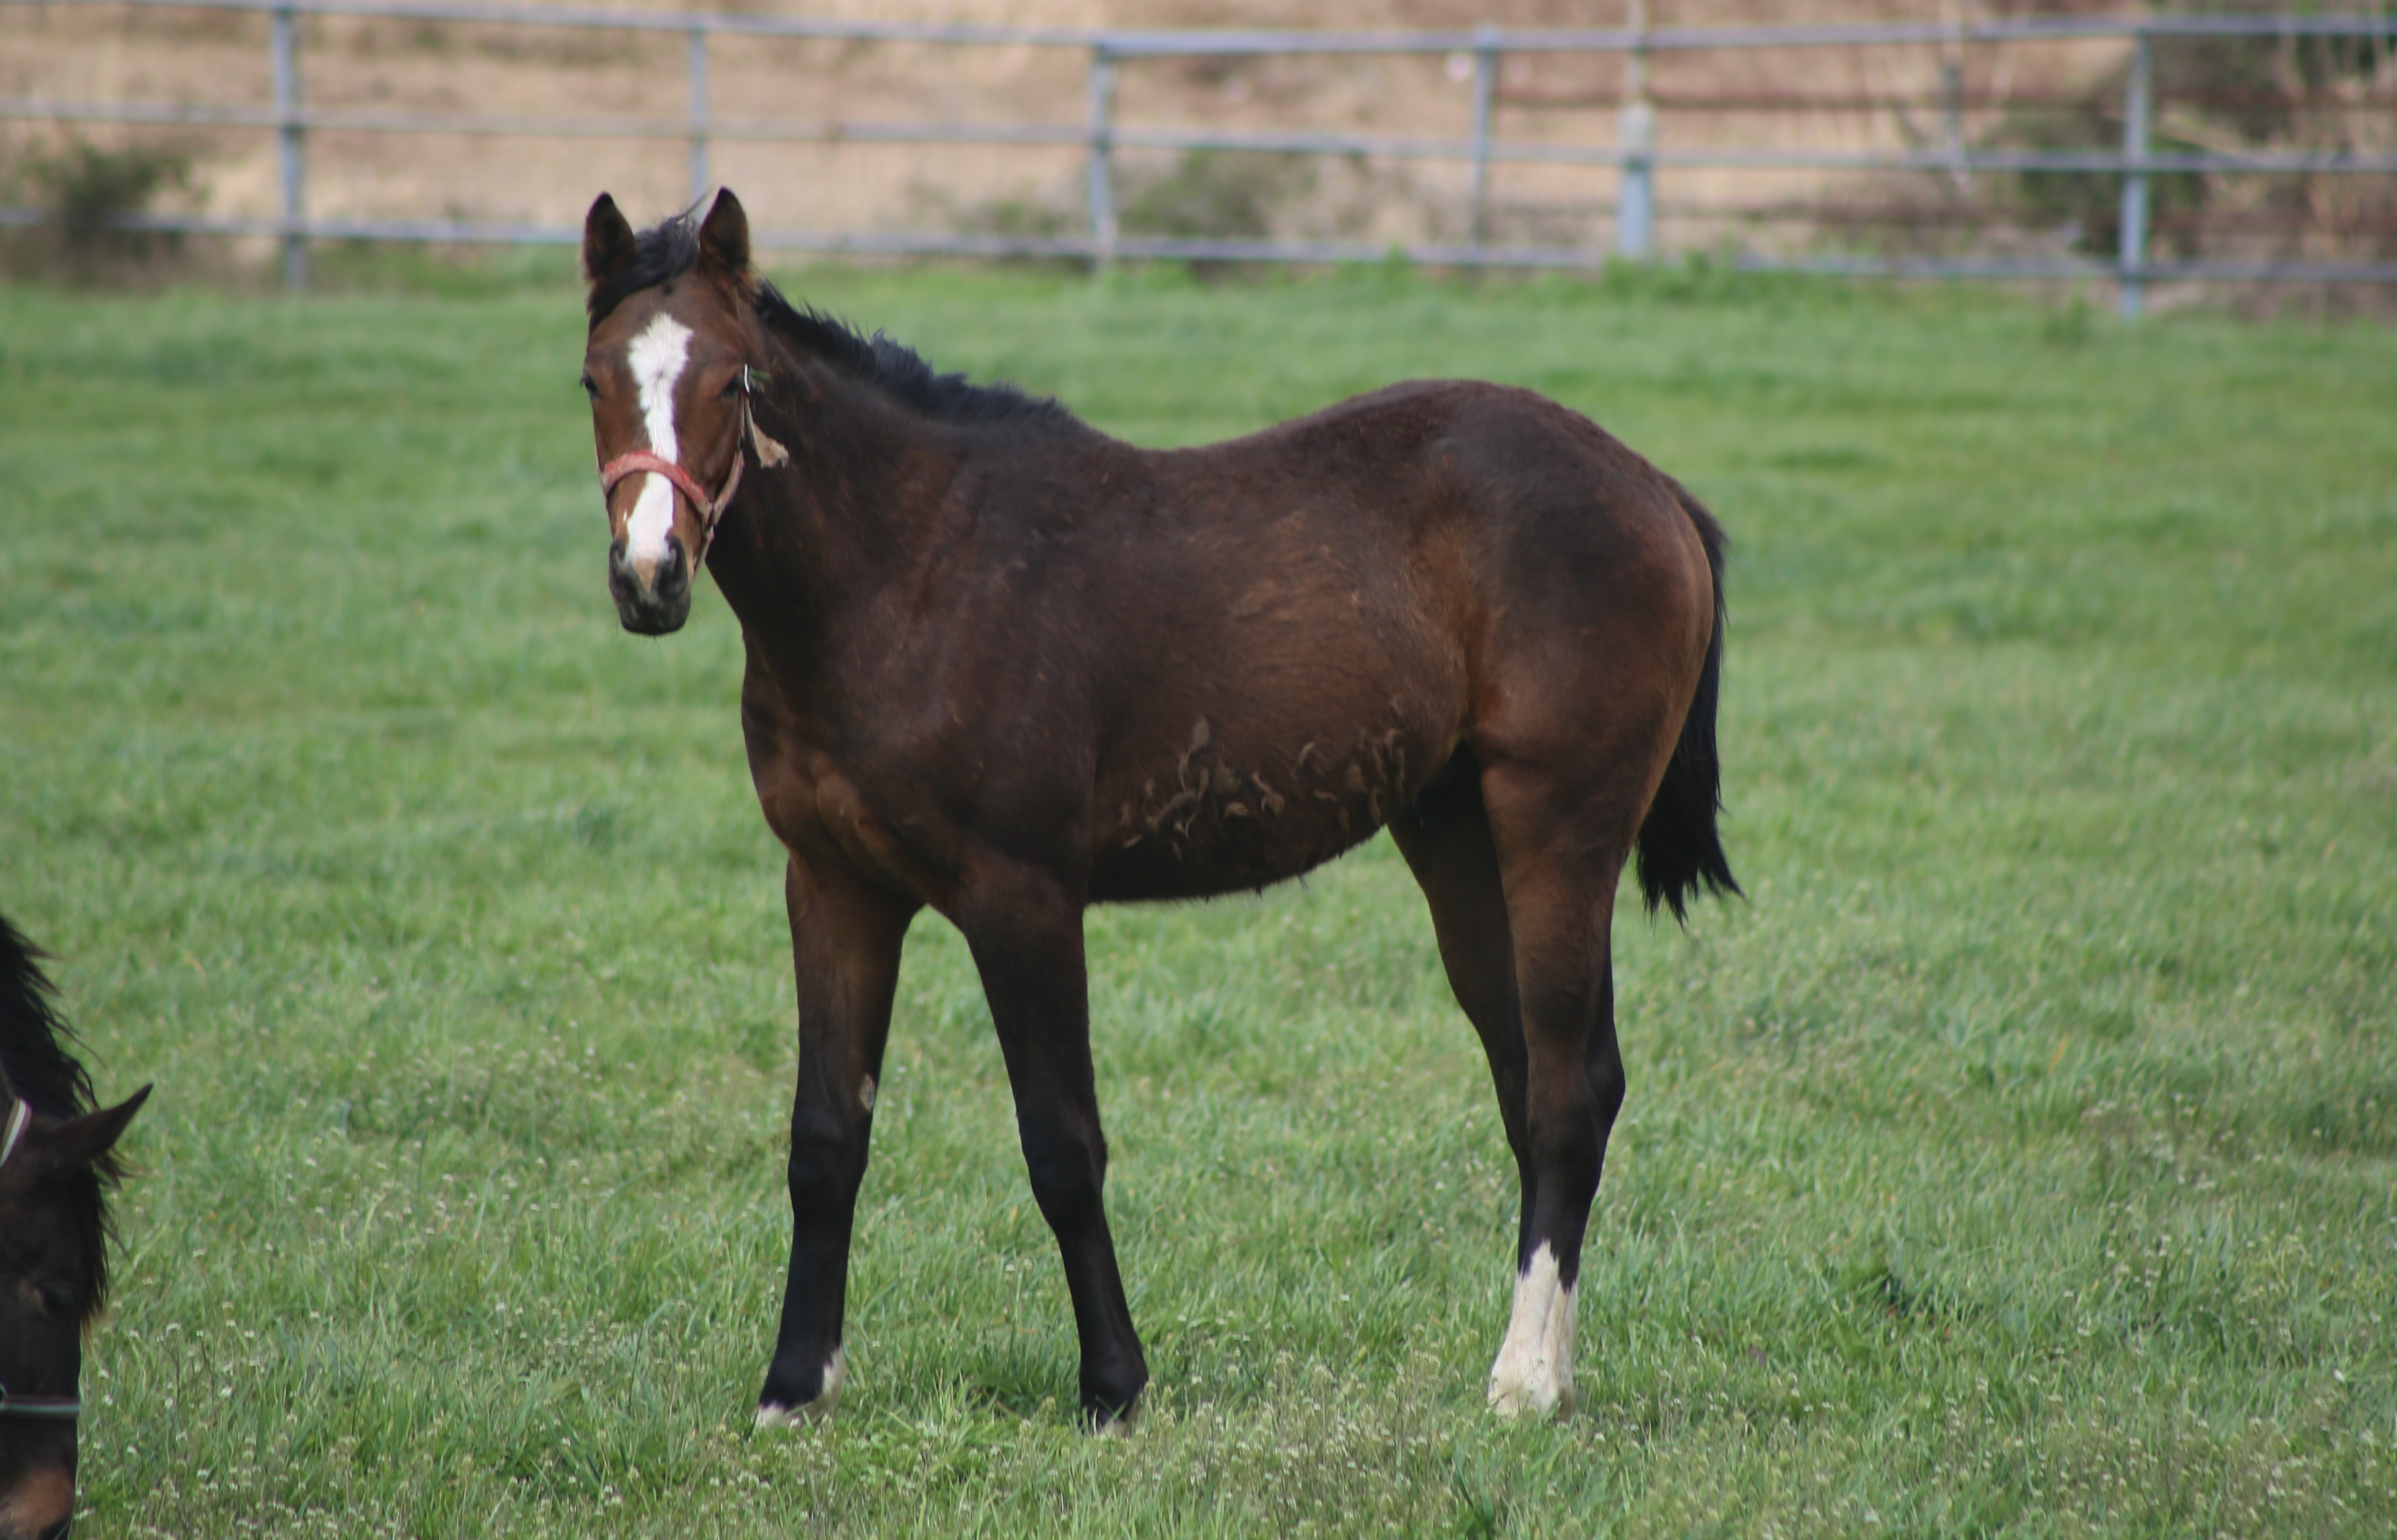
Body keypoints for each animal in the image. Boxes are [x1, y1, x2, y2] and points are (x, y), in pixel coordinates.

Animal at [580, 193, 1745, 1437]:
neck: (911, 571)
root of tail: (1656, 491)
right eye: (594, 377)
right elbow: (824, 1139)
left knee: (1571, 1091)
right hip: (1457, 839)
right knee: (1539, 1081)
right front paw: (796, 1383)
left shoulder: (1022, 895)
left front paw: (1113, 1382)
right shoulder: (833, 884)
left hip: (1559, 830)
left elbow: (1061, 1144)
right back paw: (1552, 1366)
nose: (650, 573)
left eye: (734, 381)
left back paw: (1522, 1379)